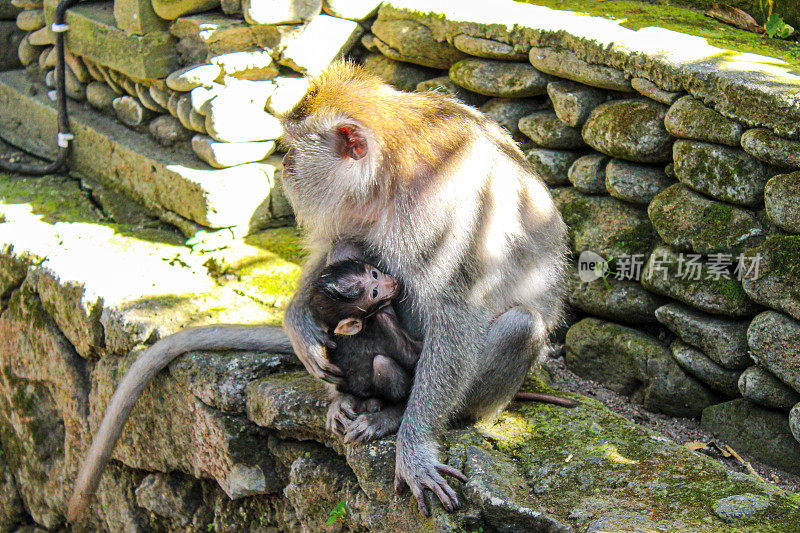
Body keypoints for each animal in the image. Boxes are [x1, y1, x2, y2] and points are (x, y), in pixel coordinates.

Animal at [282, 63, 568, 516]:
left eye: (293, 146)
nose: (283, 165)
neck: (388, 175)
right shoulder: (353, 205)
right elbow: (335, 250)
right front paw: (299, 324)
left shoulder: (441, 213)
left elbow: (457, 315)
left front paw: (414, 451)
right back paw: (344, 397)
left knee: (520, 325)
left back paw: (393, 415)